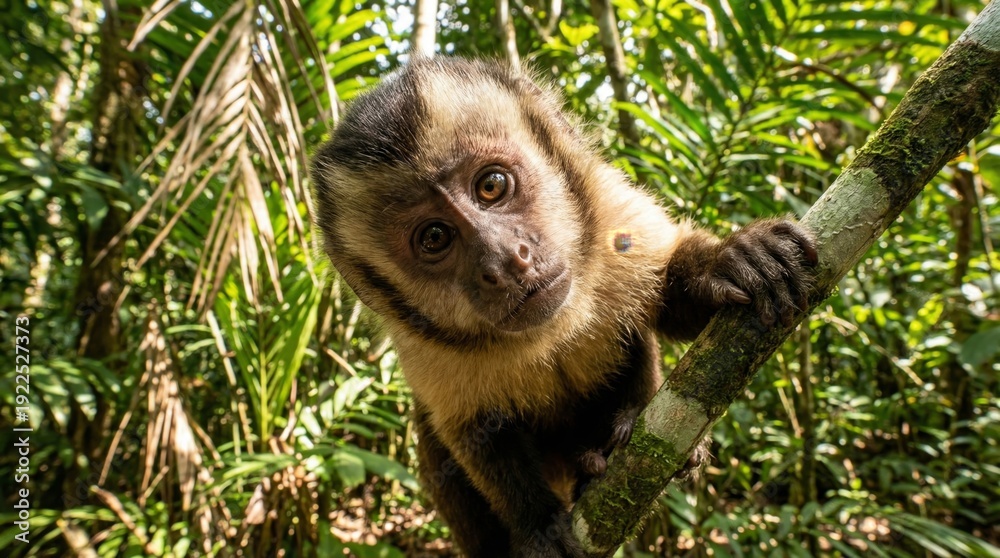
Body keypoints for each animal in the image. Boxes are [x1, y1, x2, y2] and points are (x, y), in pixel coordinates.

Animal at [310, 57, 817, 557]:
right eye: (434, 237)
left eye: (491, 185)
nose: (506, 260)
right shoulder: (418, 341)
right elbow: (473, 431)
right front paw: (539, 526)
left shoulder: (609, 208)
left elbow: (669, 300)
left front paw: (730, 262)